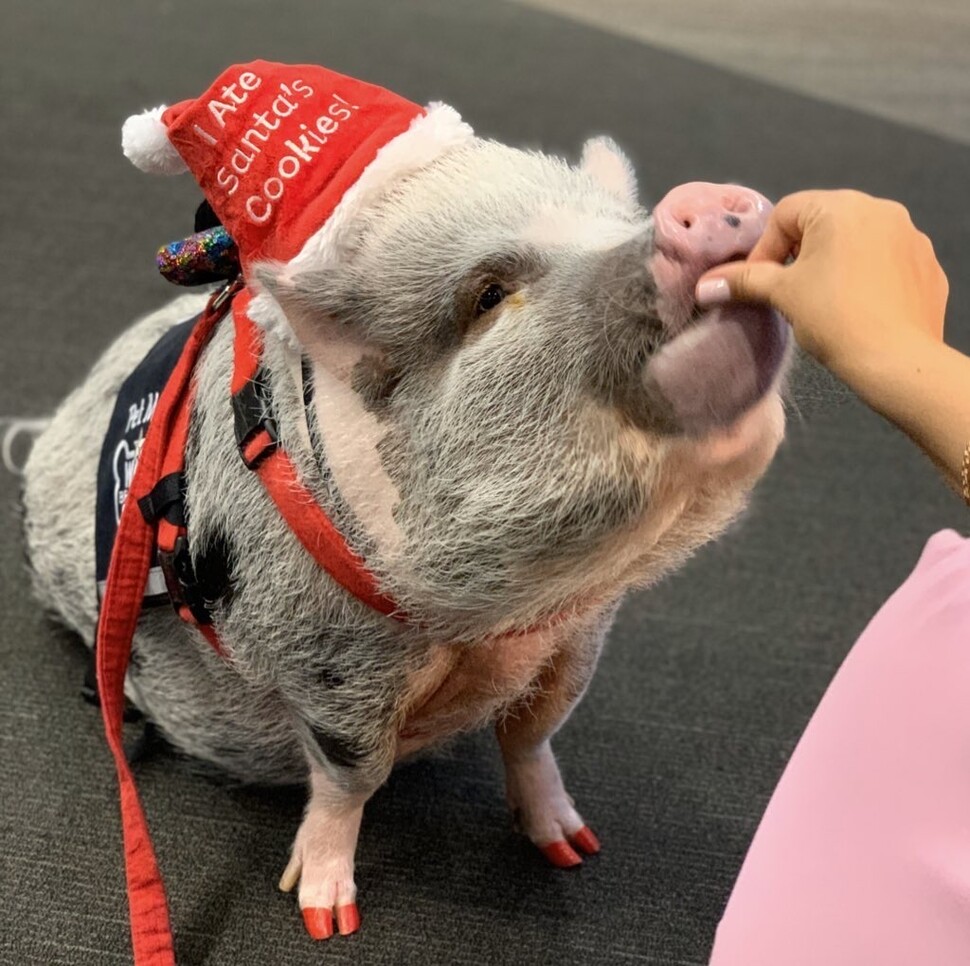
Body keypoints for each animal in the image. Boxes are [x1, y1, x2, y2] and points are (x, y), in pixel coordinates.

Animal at [20, 58, 788, 944]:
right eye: (487, 294)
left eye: (617, 224)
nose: (707, 199)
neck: (505, 621)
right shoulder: (325, 659)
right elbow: (350, 780)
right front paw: (326, 918)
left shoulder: (579, 637)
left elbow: (535, 734)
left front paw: (574, 851)